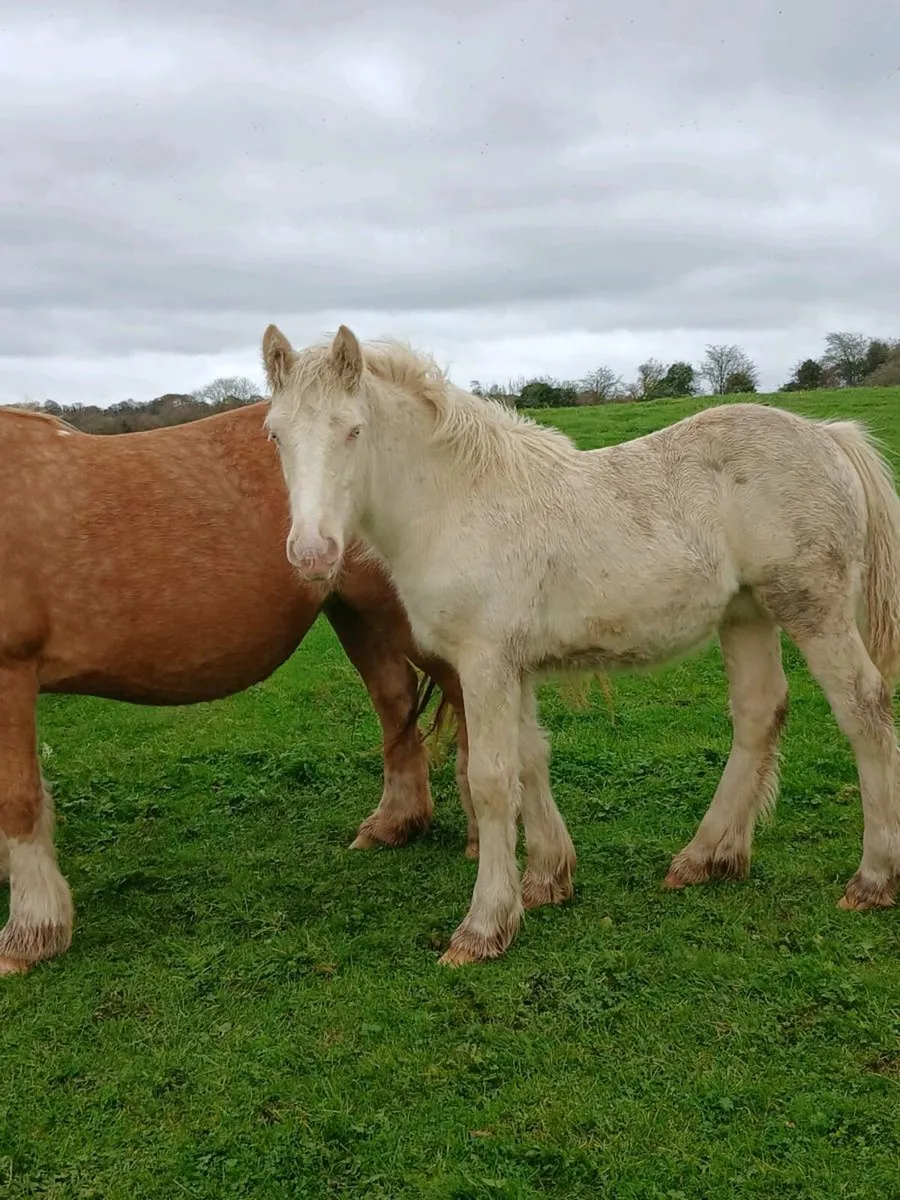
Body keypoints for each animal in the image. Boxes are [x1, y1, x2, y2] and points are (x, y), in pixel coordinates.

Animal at [0, 401, 471, 976]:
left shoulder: (10, 673)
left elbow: (17, 798)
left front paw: (29, 935)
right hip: (355, 613)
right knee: (396, 703)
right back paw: (394, 825)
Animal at [261, 322, 900, 966]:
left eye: (353, 430)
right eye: (276, 434)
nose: (312, 553)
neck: (460, 501)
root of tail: (829, 436)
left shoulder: (484, 661)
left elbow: (491, 780)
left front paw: (484, 926)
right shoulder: (513, 664)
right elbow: (530, 760)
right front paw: (546, 880)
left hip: (811, 608)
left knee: (863, 710)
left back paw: (872, 879)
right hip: (746, 614)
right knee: (759, 712)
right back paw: (707, 858)